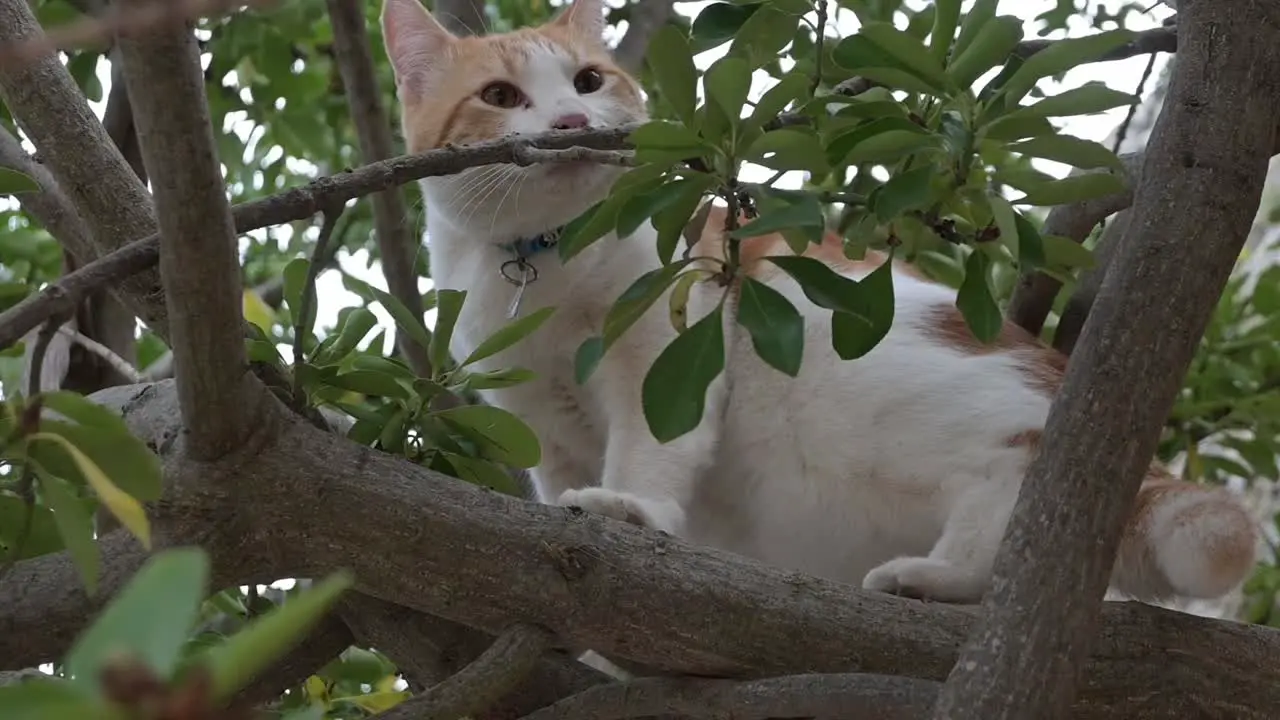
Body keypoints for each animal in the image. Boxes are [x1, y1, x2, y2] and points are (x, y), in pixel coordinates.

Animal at [378, 0, 1259, 604]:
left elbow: (651, 446)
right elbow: (558, 479)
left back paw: (941, 574)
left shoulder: (666, 343)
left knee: (1019, 470)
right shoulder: (538, 423)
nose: (567, 119)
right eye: (501, 96)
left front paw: (630, 509)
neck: (541, 261)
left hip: (859, 387)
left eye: (589, 82)